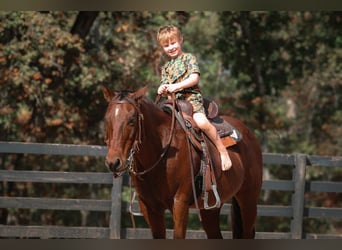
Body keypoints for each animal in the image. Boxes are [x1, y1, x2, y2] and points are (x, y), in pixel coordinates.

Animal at [101, 85, 262, 238]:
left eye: (132, 120)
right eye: (107, 119)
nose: (113, 162)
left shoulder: (180, 203)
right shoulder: (150, 207)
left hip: (248, 200)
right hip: (210, 208)